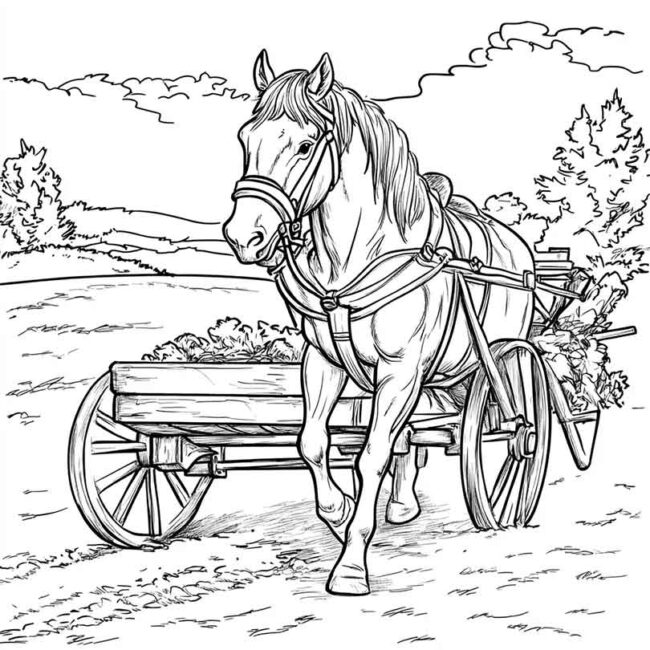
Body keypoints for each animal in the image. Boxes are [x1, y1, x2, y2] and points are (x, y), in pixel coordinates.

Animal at [224, 50, 535, 595]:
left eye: (305, 144)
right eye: (246, 139)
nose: (245, 237)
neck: (358, 256)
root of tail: (518, 248)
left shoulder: (401, 369)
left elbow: (371, 455)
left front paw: (351, 565)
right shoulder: (324, 361)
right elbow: (313, 443)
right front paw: (338, 511)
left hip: (498, 358)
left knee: (511, 421)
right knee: (411, 434)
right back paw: (402, 503)